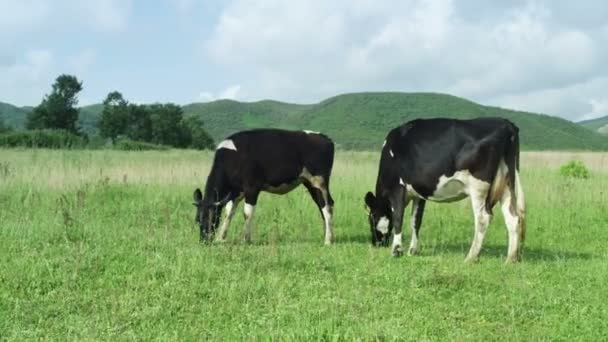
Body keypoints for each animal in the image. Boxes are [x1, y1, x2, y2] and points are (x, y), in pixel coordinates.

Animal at [192, 128, 334, 243]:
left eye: (211, 218)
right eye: (198, 219)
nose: (204, 240)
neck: (233, 158)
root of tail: (325, 138)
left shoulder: (252, 188)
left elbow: (247, 213)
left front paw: (245, 239)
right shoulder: (236, 192)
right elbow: (229, 213)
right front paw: (221, 238)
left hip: (319, 182)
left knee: (327, 205)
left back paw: (328, 240)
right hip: (309, 183)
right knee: (322, 205)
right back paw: (327, 235)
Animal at [364, 116, 524, 264]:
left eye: (371, 218)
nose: (375, 243)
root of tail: (506, 124)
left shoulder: (397, 188)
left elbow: (398, 218)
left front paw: (396, 251)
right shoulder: (418, 194)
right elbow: (415, 221)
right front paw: (413, 250)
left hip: (478, 186)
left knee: (483, 218)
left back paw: (471, 257)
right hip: (507, 183)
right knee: (513, 218)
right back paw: (510, 259)